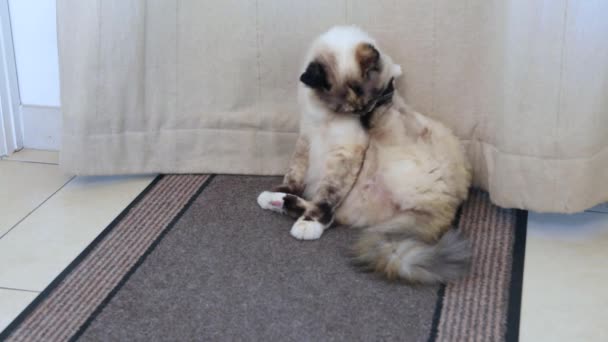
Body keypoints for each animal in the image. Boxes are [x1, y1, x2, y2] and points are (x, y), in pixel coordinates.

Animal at [255, 26, 470, 284]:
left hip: (390, 129)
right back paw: (275, 199)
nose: (364, 112)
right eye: (348, 108)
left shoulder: (345, 152)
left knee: (327, 209)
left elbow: (327, 195)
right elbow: (294, 175)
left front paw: (309, 223)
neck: (323, 116)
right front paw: (282, 192)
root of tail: (450, 204)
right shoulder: (305, 138)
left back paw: (298, 218)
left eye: (368, 102)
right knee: (327, 212)